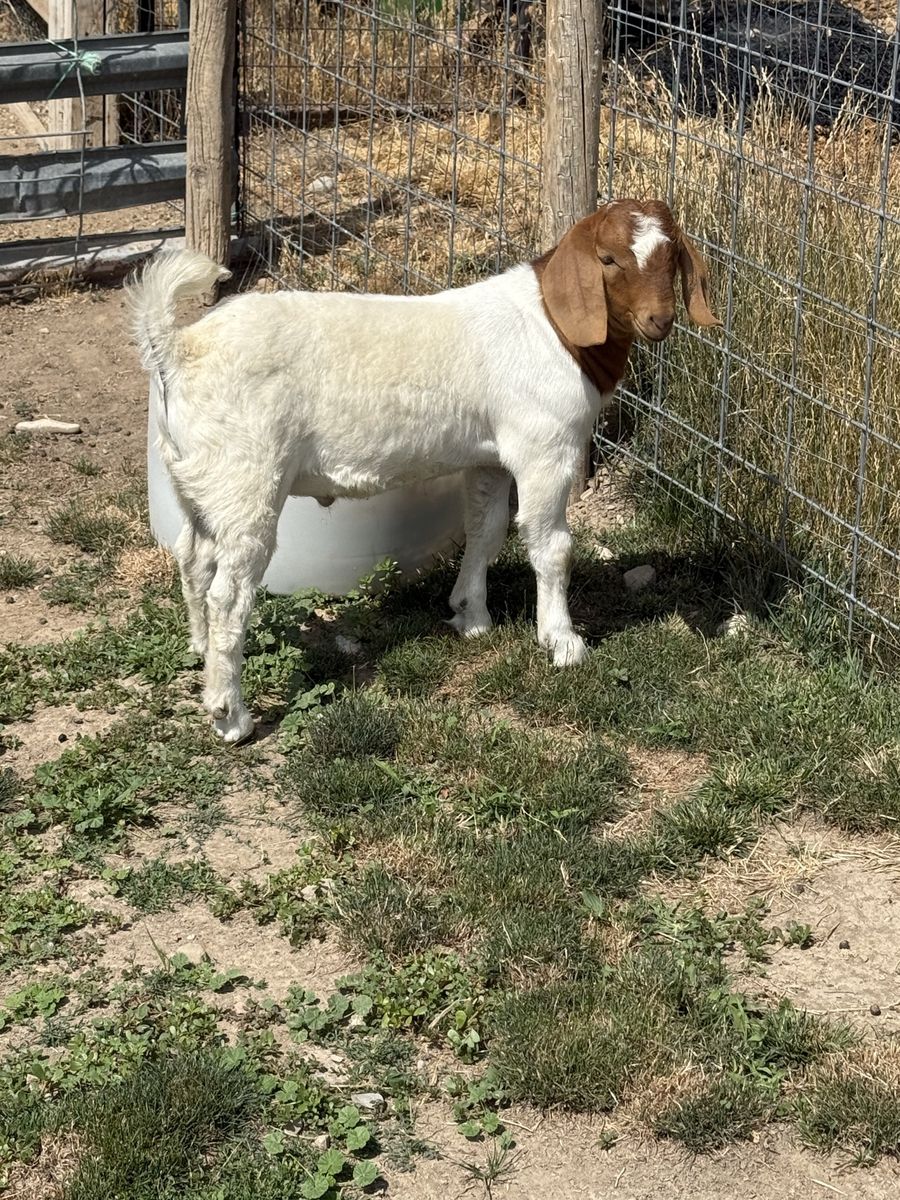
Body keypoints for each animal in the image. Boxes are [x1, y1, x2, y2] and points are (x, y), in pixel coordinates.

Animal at [128, 200, 720, 743]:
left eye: (672, 254)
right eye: (608, 258)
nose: (660, 321)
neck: (554, 329)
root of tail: (180, 348)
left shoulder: (489, 457)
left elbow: (485, 532)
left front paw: (471, 615)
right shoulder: (544, 449)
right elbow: (550, 546)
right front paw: (563, 642)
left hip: (203, 480)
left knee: (193, 559)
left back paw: (200, 650)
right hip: (247, 476)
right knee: (229, 593)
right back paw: (230, 714)